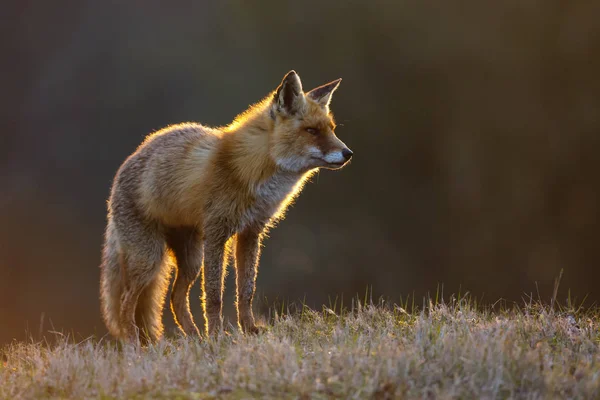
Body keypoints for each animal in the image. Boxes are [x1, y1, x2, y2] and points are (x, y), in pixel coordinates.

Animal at [98, 70, 352, 342]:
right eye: (312, 131)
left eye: (331, 130)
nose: (348, 153)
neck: (253, 170)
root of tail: (127, 162)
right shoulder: (216, 234)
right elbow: (214, 296)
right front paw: (217, 336)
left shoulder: (251, 232)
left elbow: (246, 291)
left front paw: (249, 330)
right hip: (150, 259)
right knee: (126, 302)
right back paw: (135, 343)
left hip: (191, 259)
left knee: (175, 298)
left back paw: (194, 338)